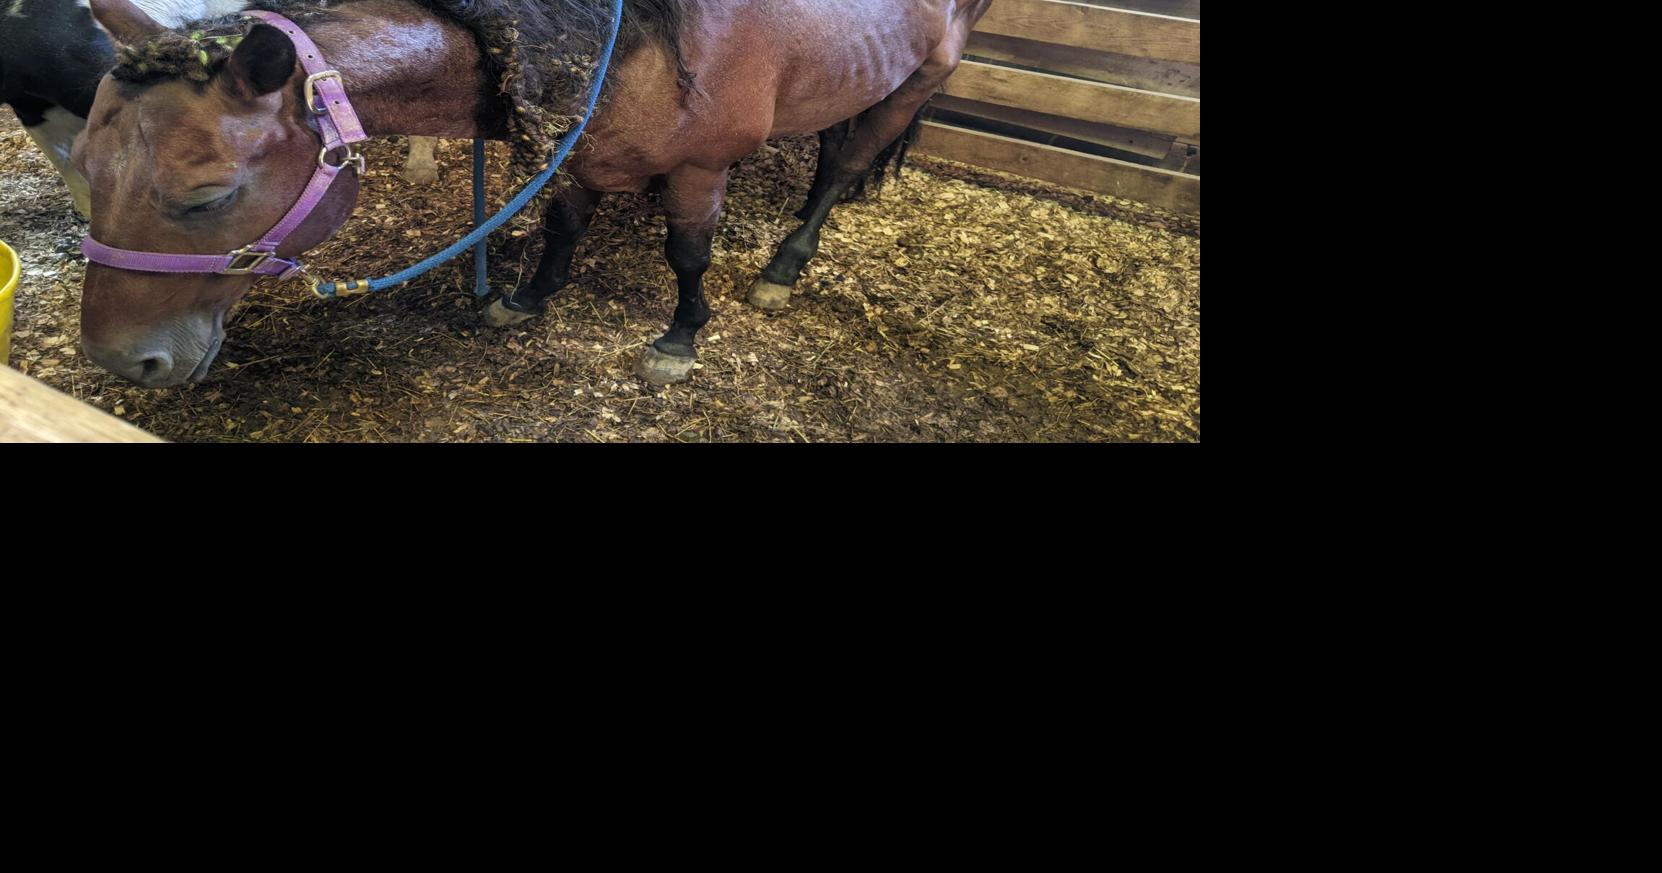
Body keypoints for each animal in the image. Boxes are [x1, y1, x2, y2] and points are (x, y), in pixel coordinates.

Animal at [73, 0, 992, 387]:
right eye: (82, 164)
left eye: (206, 196)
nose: (122, 361)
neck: (636, 41)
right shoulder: (580, 146)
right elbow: (563, 223)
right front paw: (530, 295)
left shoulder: (702, 171)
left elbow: (687, 253)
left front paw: (680, 336)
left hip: (926, 73)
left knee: (840, 171)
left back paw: (786, 264)